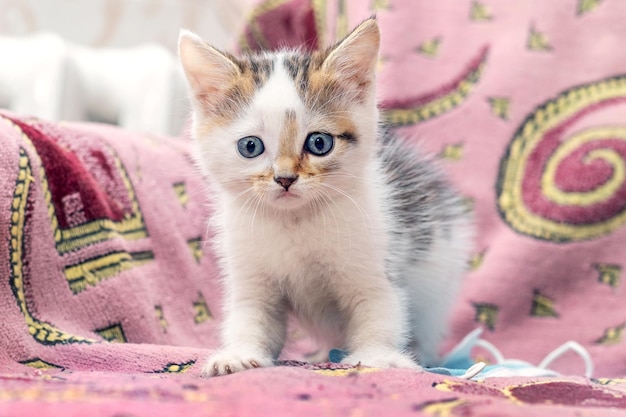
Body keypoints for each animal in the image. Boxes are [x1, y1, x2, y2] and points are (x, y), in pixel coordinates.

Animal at [178, 17, 470, 376]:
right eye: (250, 146)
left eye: (319, 143)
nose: (285, 179)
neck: (295, 220)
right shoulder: (250, 272)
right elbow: (252, 314)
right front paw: (238, 354)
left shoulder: (374, 260)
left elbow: (379, 308)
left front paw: (376, 356)